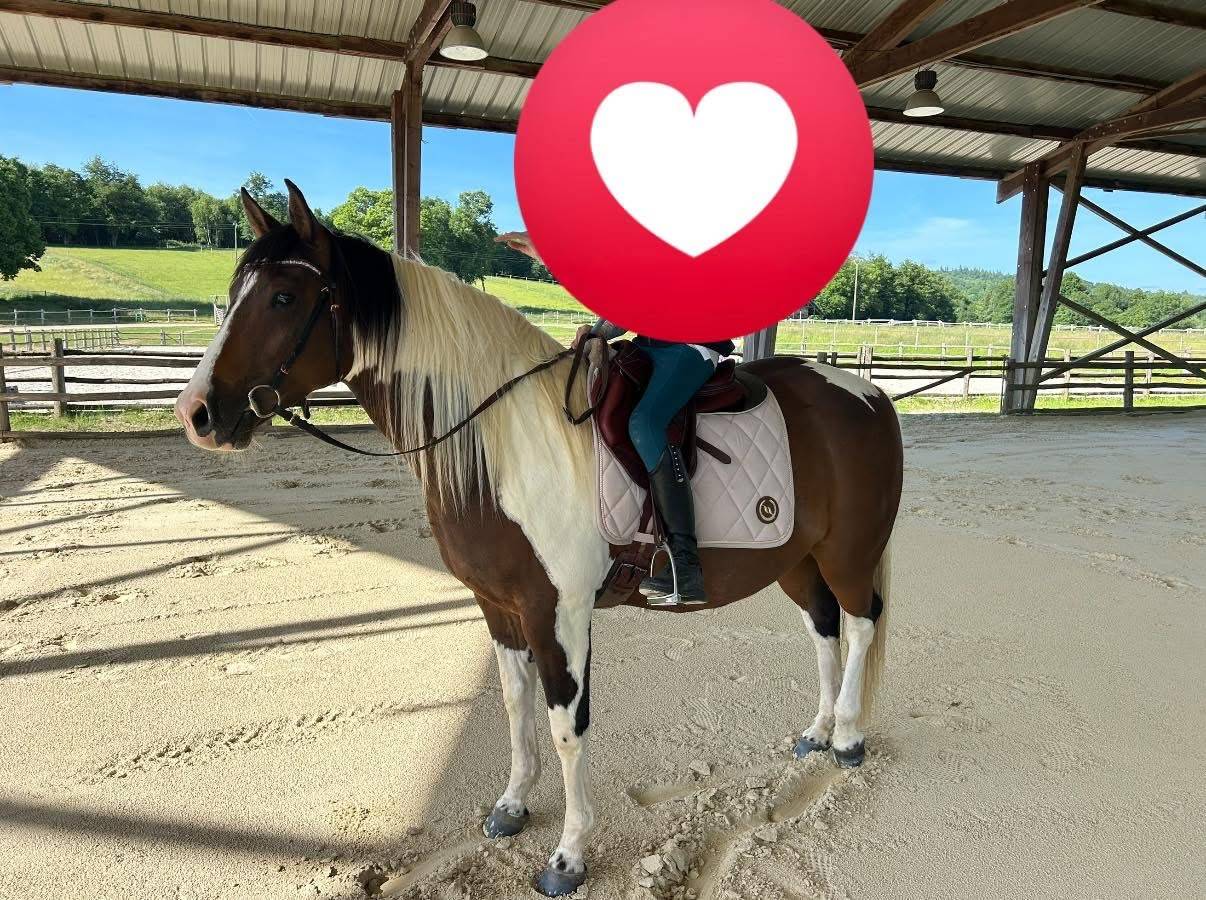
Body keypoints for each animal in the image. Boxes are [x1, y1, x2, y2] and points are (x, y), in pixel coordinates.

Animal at [175, 181, 903, 897]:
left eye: (284, 297)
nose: (197, 414)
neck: (504, 442)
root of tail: (867, 393)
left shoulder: (560, 611)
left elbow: (565, 727)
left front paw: (568, 857)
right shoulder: (499, 607)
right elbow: (514, 705)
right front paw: (513, 805)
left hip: (847, 553)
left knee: (861, 622)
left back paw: (847, 738)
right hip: (798, 559)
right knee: (823, 626)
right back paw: (817, 731)